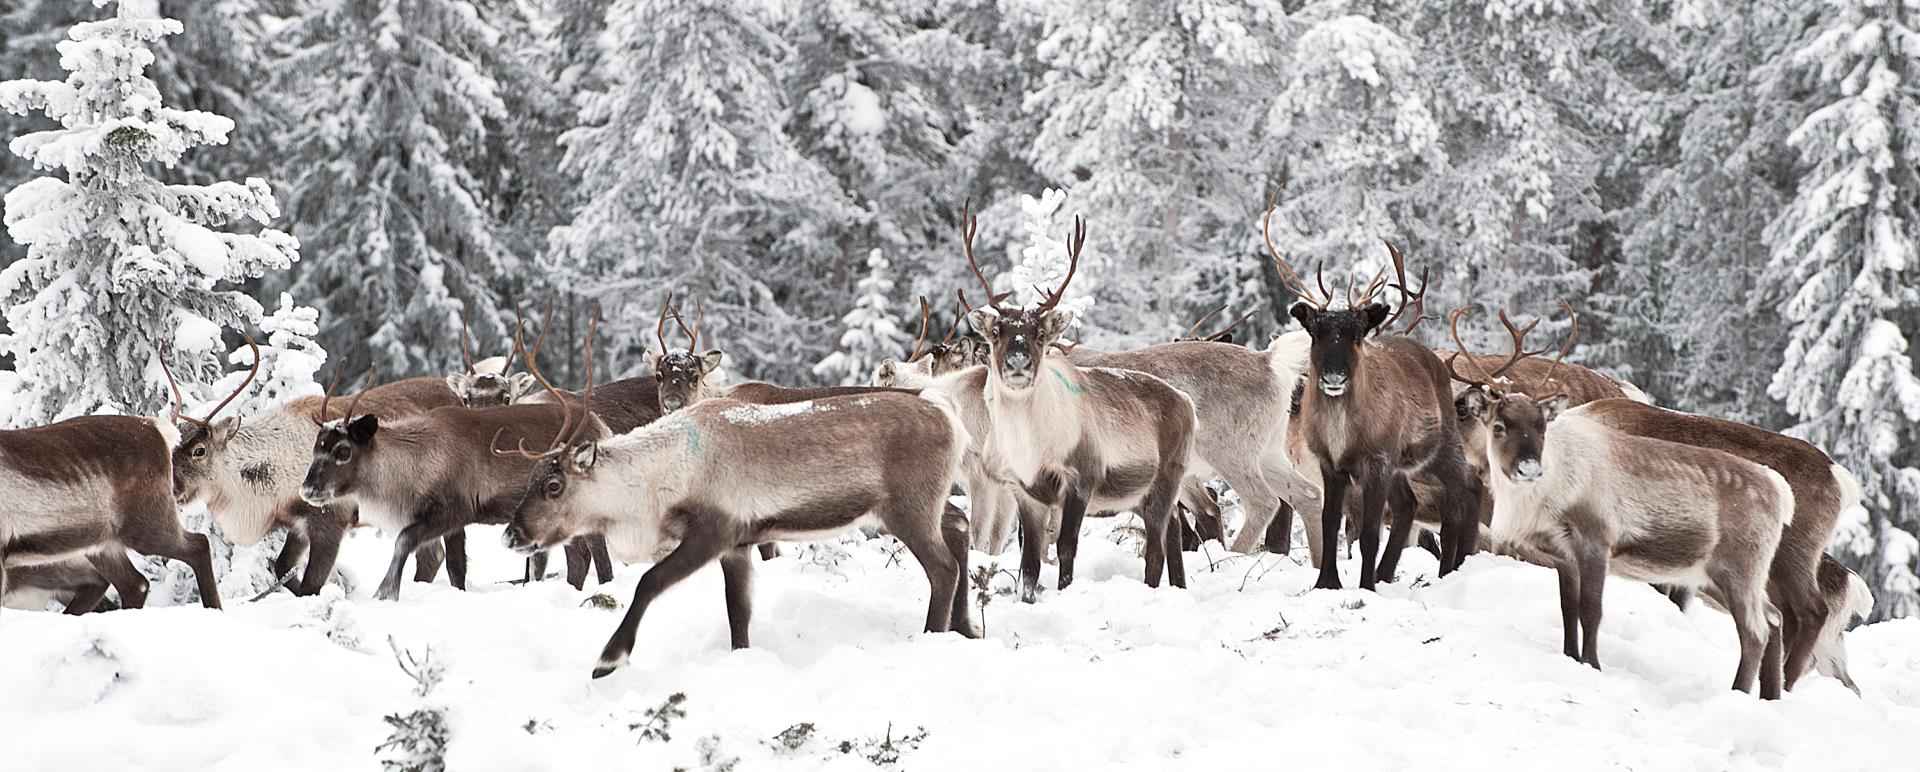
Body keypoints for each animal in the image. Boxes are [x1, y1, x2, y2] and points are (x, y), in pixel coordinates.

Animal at [496, 317, 976, 678]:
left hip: (909, 508)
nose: (511, 534)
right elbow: (738, 612)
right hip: (927, 504)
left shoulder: (714, 531)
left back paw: (934, 636)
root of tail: (948, 412)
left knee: (943, 567)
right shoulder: (740, 544)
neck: (658, 480)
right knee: (958, 529)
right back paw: (966, 629)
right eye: (531, 478)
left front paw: (608, 660)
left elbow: (649, 582)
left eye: (554, 485)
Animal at [956, 207, 1198, 602]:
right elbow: (1029, 562)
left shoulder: (1080, 479)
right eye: (996, 332)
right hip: (1147, 495)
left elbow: (1066, 547)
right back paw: (1179, 587)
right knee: (1175, 532)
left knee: (1155, 550)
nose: (1019, 362)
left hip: (1166, 478)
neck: (1031, 446)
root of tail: (1187, 402)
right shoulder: (1026, 493)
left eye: (1040, 333)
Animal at [1265, 214, 1480, 590]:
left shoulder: (1377, 460)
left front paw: (1365, 585)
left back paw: (1450, 569)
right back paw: (1388, 572)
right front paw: (1327, 583)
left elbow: (1368, 532)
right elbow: (1331, 522)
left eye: (1357, 333)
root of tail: (1436, 360)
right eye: (1315, 332)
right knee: (1409, 504)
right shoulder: (1330, 464)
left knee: (1463, 491)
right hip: (1402, 466)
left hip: (1439, 446)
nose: (1334, 376)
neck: (1343, 433)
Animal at [1461, 346, 1795, 698]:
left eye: (1542, 427)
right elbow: (1569, 608)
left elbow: (1591, 609)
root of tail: (1781, 492)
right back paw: (1768, 696)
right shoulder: (1562, 554)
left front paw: (1592, 664)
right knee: (1774, 618)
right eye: (1499, 426)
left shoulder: (1596, 539)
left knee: (1755, 632)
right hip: (1720, 577)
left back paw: (1738, 692)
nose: (1529, 468)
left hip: (1739, 569)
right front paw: (1571, 656)